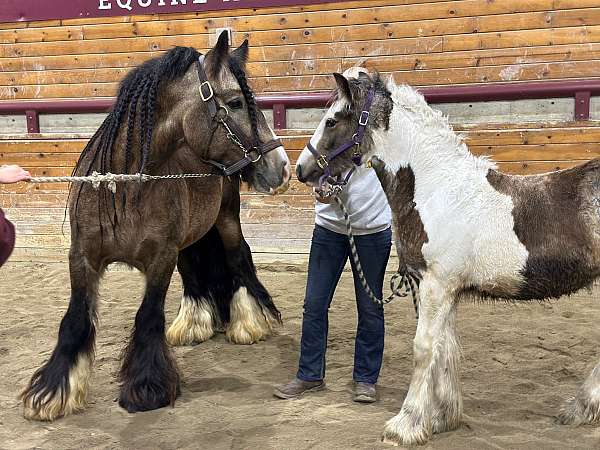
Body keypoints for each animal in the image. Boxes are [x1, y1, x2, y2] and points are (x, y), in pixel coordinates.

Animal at [24, 32, 292, 422]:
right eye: (235, 102)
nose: (281, 167)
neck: (124, 187)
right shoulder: (82, 258)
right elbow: (75, 320)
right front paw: (53, 392)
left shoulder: (160, 258)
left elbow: (148, 317)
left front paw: (147, 387)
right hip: (190, 237)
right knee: (194, 270)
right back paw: (194, 325)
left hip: (225, 220)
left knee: (238, 259)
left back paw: (247, 324)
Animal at [296, 68, 600, 444]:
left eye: (333, 120)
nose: (302, 169)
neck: (438, 189)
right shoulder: (446, 289)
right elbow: (444, 349)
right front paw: (442, 418)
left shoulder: (436, 285)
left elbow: (424, 348)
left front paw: (405, 425)